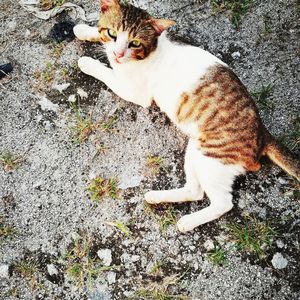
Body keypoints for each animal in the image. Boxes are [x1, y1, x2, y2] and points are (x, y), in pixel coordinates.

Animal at [73, 0, 300, 232]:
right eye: (112, 33)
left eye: (135, 43)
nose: (118, 54)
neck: (154, 48)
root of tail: (263, 133)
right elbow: (99, 38)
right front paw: (85, 30)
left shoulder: (134, 92)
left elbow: (108, 73)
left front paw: (89, 62)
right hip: (194, 151)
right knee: (195, 191)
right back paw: (157, 197)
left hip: (209, 157)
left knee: (223, 203)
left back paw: (188, 221)